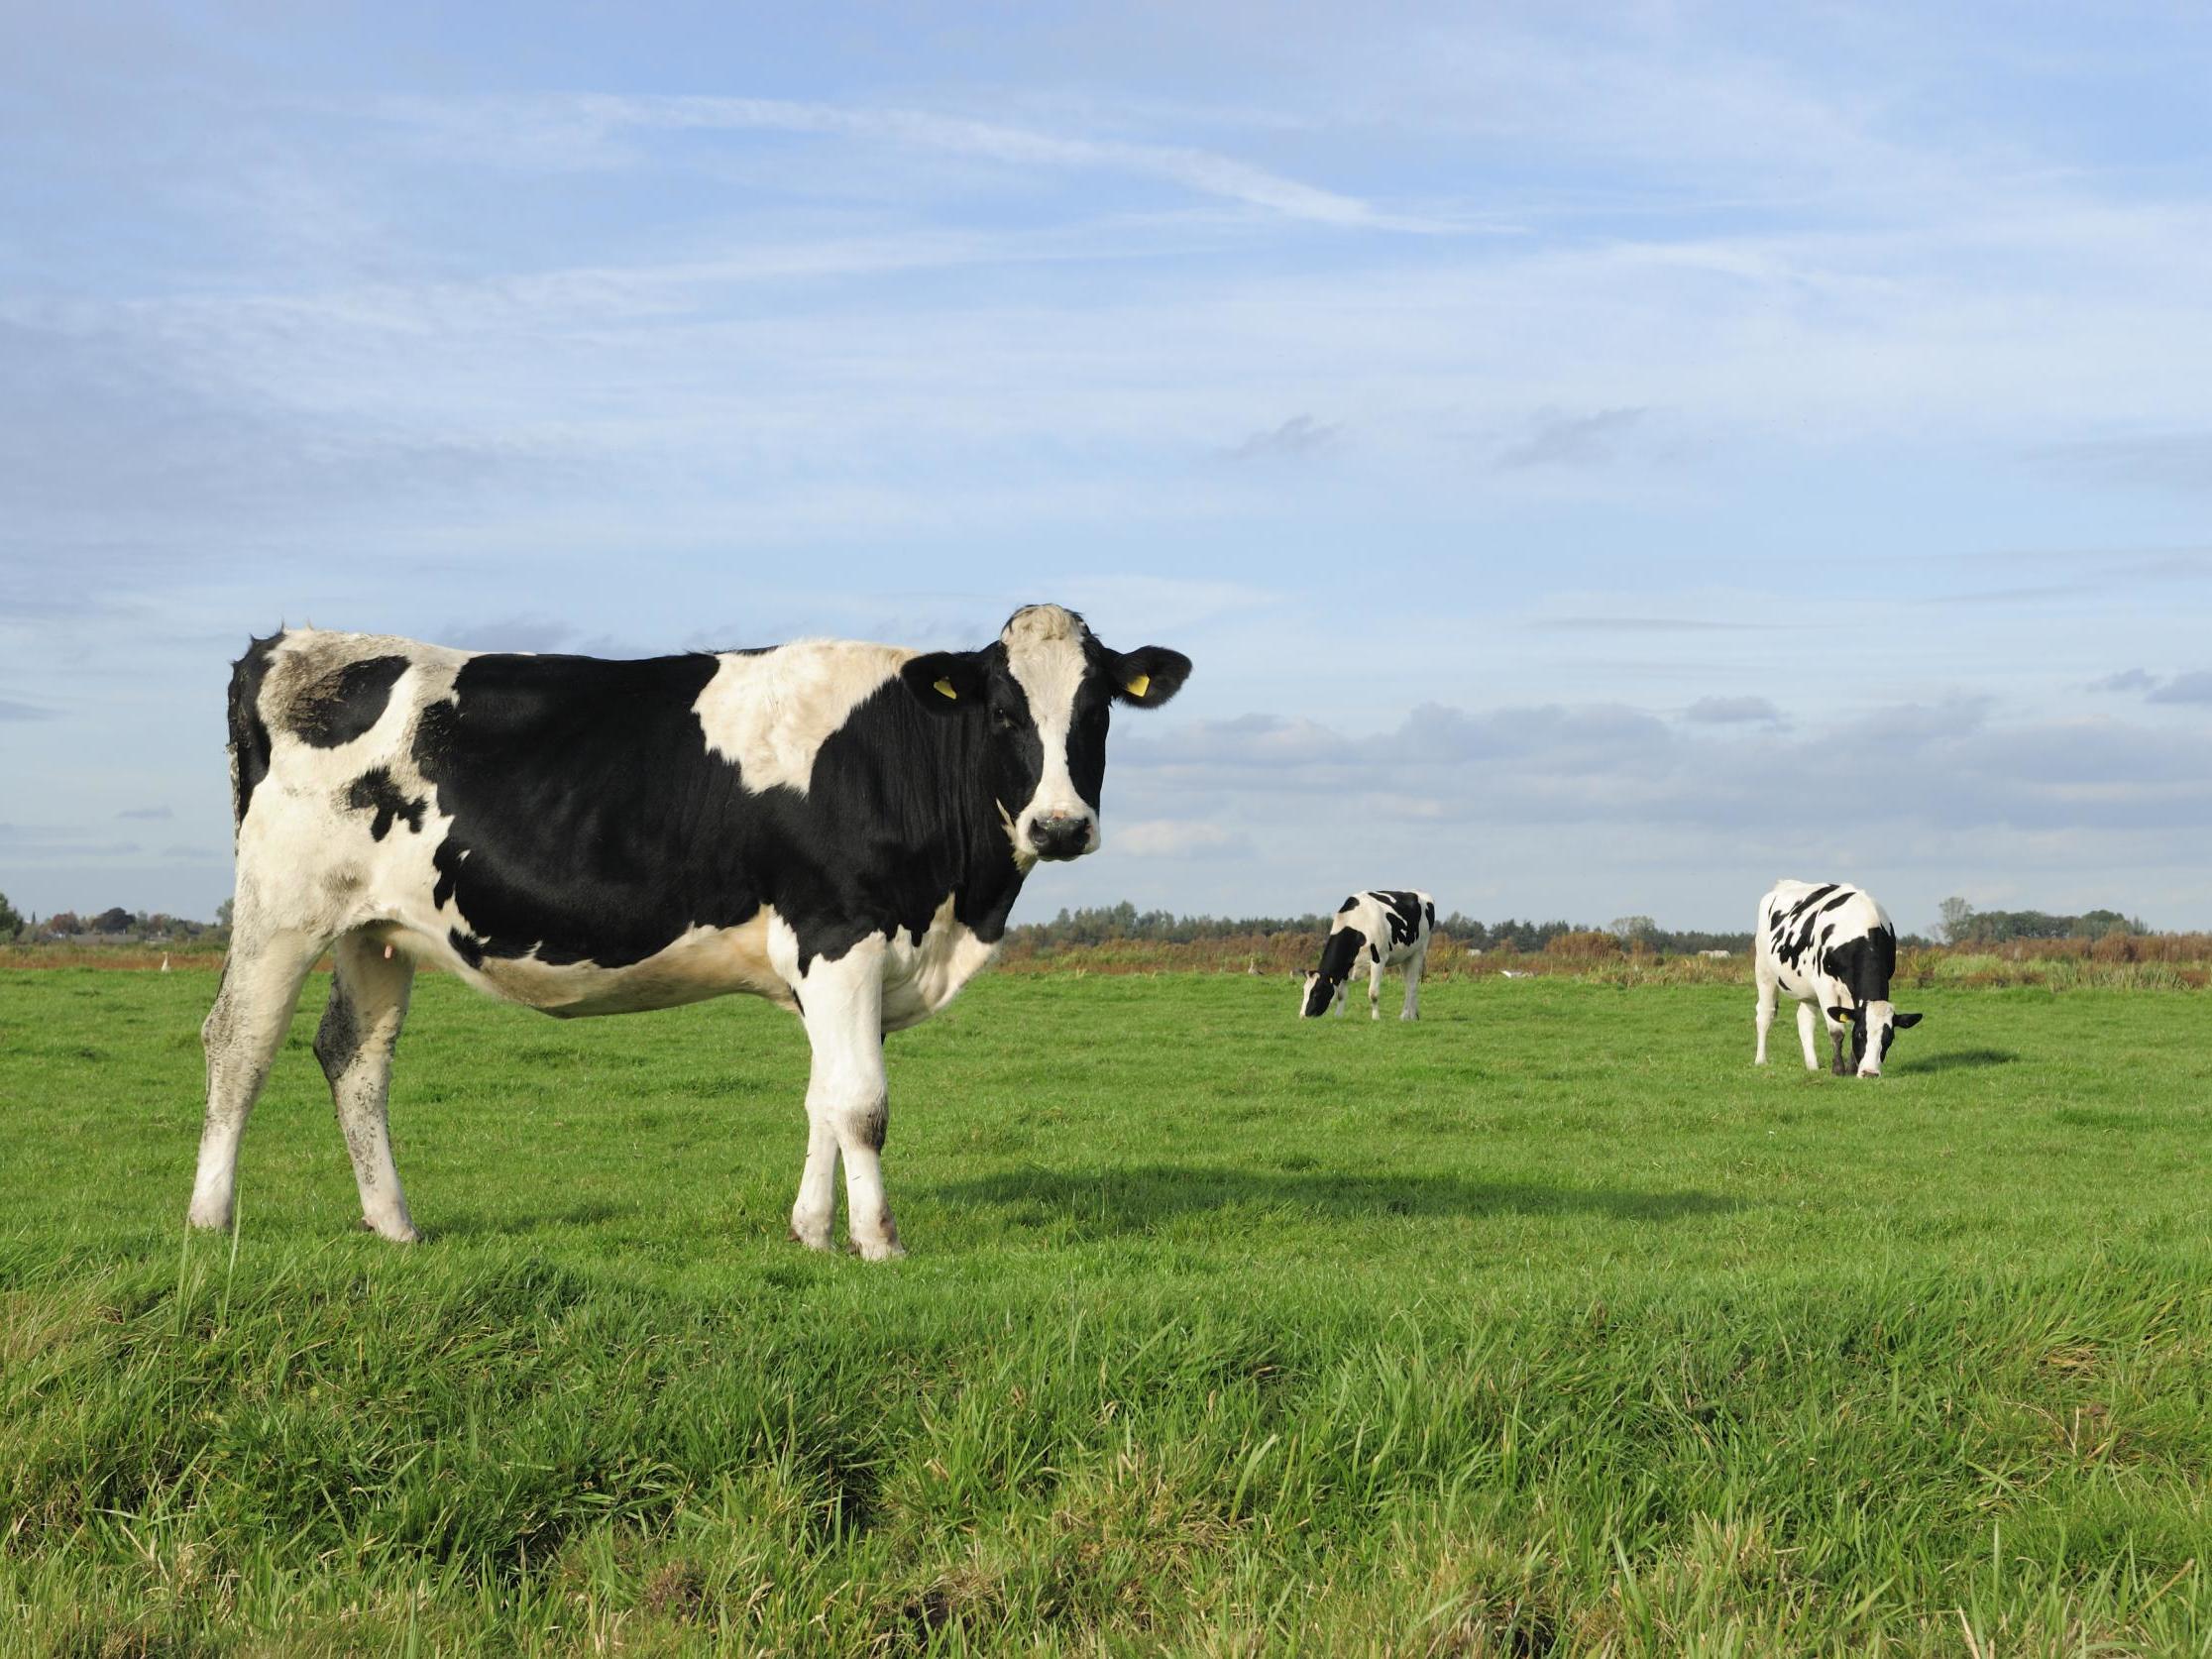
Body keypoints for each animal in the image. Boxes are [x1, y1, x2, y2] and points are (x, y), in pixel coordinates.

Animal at [189, 606, 1194, 1256]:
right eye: (1003, 712)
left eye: (1096, 710)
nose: (1059, 826)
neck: (955, 909)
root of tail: (290, 645)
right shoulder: (840, 934)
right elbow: (861, 1104)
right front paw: (879, 1244)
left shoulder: (824, 963)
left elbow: (821, 1098)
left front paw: (811, 1233)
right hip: (282, 909)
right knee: (240, 1043)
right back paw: (211, 1221)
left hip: (376, 929)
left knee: (354, 1058)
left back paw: (394, 1226)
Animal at [1291, 889, 1433, 1022]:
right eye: (1304, 990)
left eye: (1316, 993)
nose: (1302, 1016)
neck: (1357, 924)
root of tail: (1421, 893)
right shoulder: (1345, 966)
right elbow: (1341, 994)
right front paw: (1338, 1016)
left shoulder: (1378, 960)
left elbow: (1373, 993)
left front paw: (1376, 1018)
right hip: (1404, 956)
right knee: (1408, 984)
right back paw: (1412, 1015)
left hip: (1419, 951)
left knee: (1412, 985)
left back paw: (1406, 1016)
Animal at [1751, 884, 1929, 1079]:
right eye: (1861, 1034)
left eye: (1889, 1038)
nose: (1870, 1073)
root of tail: (1784, 884)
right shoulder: (1825, 986)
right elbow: (1837, 1031)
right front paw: (1838, 1069)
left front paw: (1852, 1069)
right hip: (1764, 971)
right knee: (1765, 1013)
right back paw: (1761, 1060)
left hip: (1808, 989)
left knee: (1805, 1020)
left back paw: (1812, 1065)